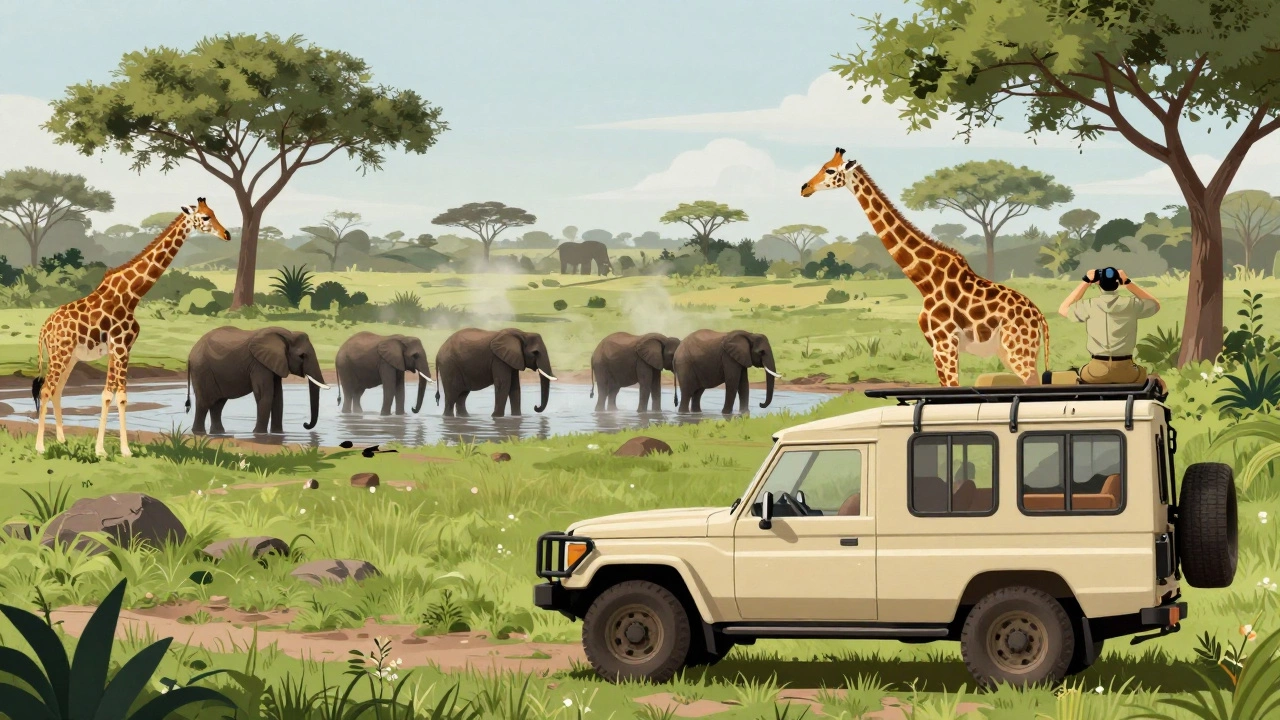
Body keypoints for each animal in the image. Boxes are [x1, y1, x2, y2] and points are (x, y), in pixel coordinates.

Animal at [33, 199, 231, 457]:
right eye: (206, 217)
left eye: (214, 213)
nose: (227, 234)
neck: (132, 295)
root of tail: (44, 328)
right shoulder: (119, 346)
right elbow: (116, 396)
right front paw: (114, 450)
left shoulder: (121, 348)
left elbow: (113, 395)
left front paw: (109, 449)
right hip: (60, 353)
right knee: (46, 389)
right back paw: (40, 446)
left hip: (71, 357)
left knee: (57, 390)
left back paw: (62, 440)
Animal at [185, 326, 328, 435]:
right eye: (302, 356)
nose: (305, 424)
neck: (288, 334)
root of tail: (191, 353)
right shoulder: (259, 364)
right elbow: (264, 395)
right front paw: (259, 434)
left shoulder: (274, 363)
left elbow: (278, 397)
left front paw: (278, 434)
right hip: (201, 369)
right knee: (204, 403)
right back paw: (199, 433)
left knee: (218, 404)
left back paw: (218, 433)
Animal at [800, 148, 1049, 387]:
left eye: (830, 170)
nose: (805, 188)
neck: (926, 281)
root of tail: (1039, 316)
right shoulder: (936, 345)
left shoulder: (945, 342)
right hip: (1010, 351)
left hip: (1019, 350)